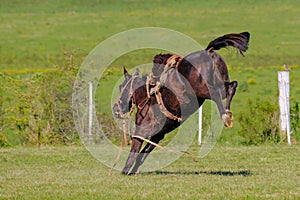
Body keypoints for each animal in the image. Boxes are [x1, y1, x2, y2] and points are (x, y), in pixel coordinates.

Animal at [112, 31, 248, 175]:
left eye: (121, 86)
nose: (115, 109)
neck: (147, 98)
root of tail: (208, 51)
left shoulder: (142, 131)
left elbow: (134, 152)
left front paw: (125, 171)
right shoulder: (158, 135)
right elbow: (142, 155)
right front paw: (133, 171)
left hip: (202, 89)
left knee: (215, 94)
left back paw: (225, 116)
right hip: (221, 84)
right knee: (232, 86)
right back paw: (228, 112)